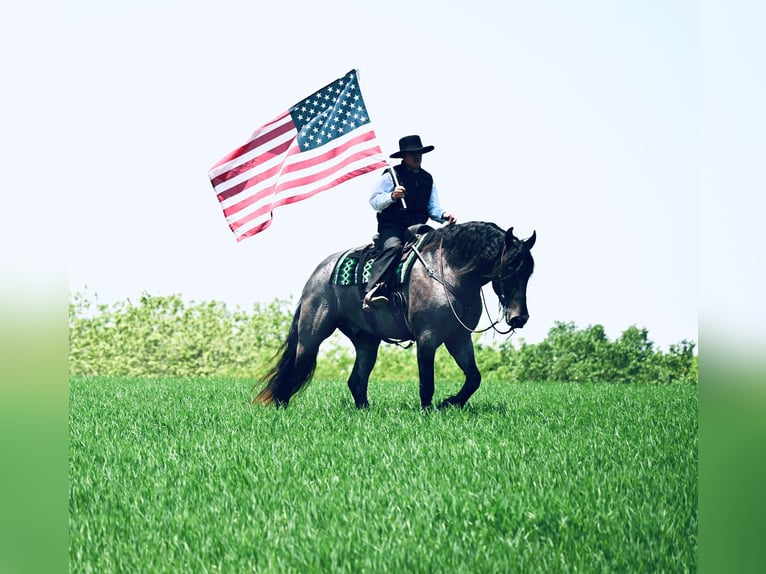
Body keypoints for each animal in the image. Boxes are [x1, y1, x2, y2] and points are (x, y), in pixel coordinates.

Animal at [255, 223, 536, 412]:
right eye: (509, 268)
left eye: (528, 273)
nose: (519, 318)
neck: (448, 272)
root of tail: (317, 274)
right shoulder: (427, 338)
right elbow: (427, 381)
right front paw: (428, 411)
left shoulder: (459, 337)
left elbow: (474, 378)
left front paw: (450, 403)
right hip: (312, 333)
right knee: (296, 368)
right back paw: (280, 404)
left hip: (367, 341)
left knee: (356, 381)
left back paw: (365, 410)